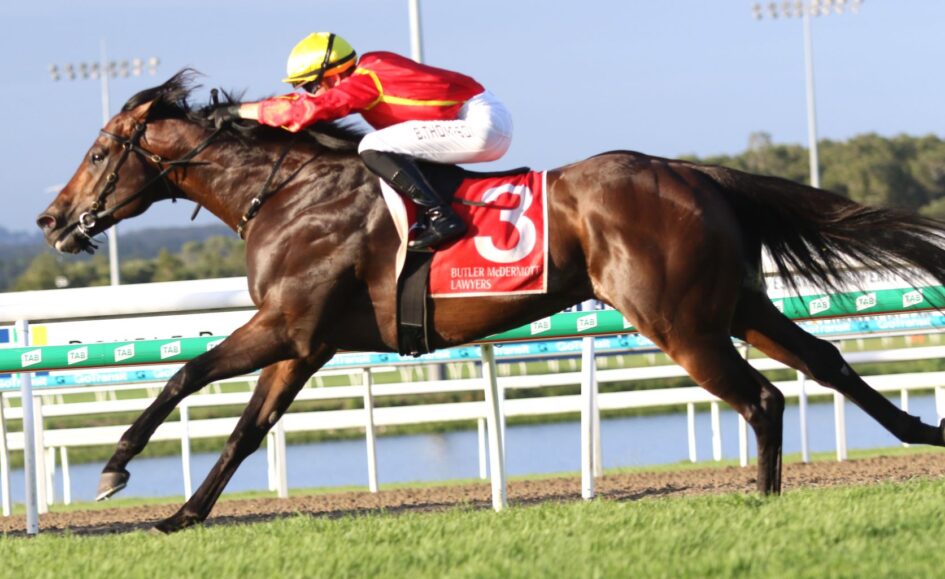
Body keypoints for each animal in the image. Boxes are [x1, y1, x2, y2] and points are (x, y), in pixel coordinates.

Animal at [37, 70, 945, 533]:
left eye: (98, 151)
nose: (51, 219)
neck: (286, 193)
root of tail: (698, 174)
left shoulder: (283, 325)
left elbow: (182, 374)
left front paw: (116, 469)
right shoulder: (305, 343)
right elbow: (245, 431)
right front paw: (182, 514)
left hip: (679, 320)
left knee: (761, 396)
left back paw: (761, 502)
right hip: (737, 305)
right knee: (825, 362)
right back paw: (921, 432)